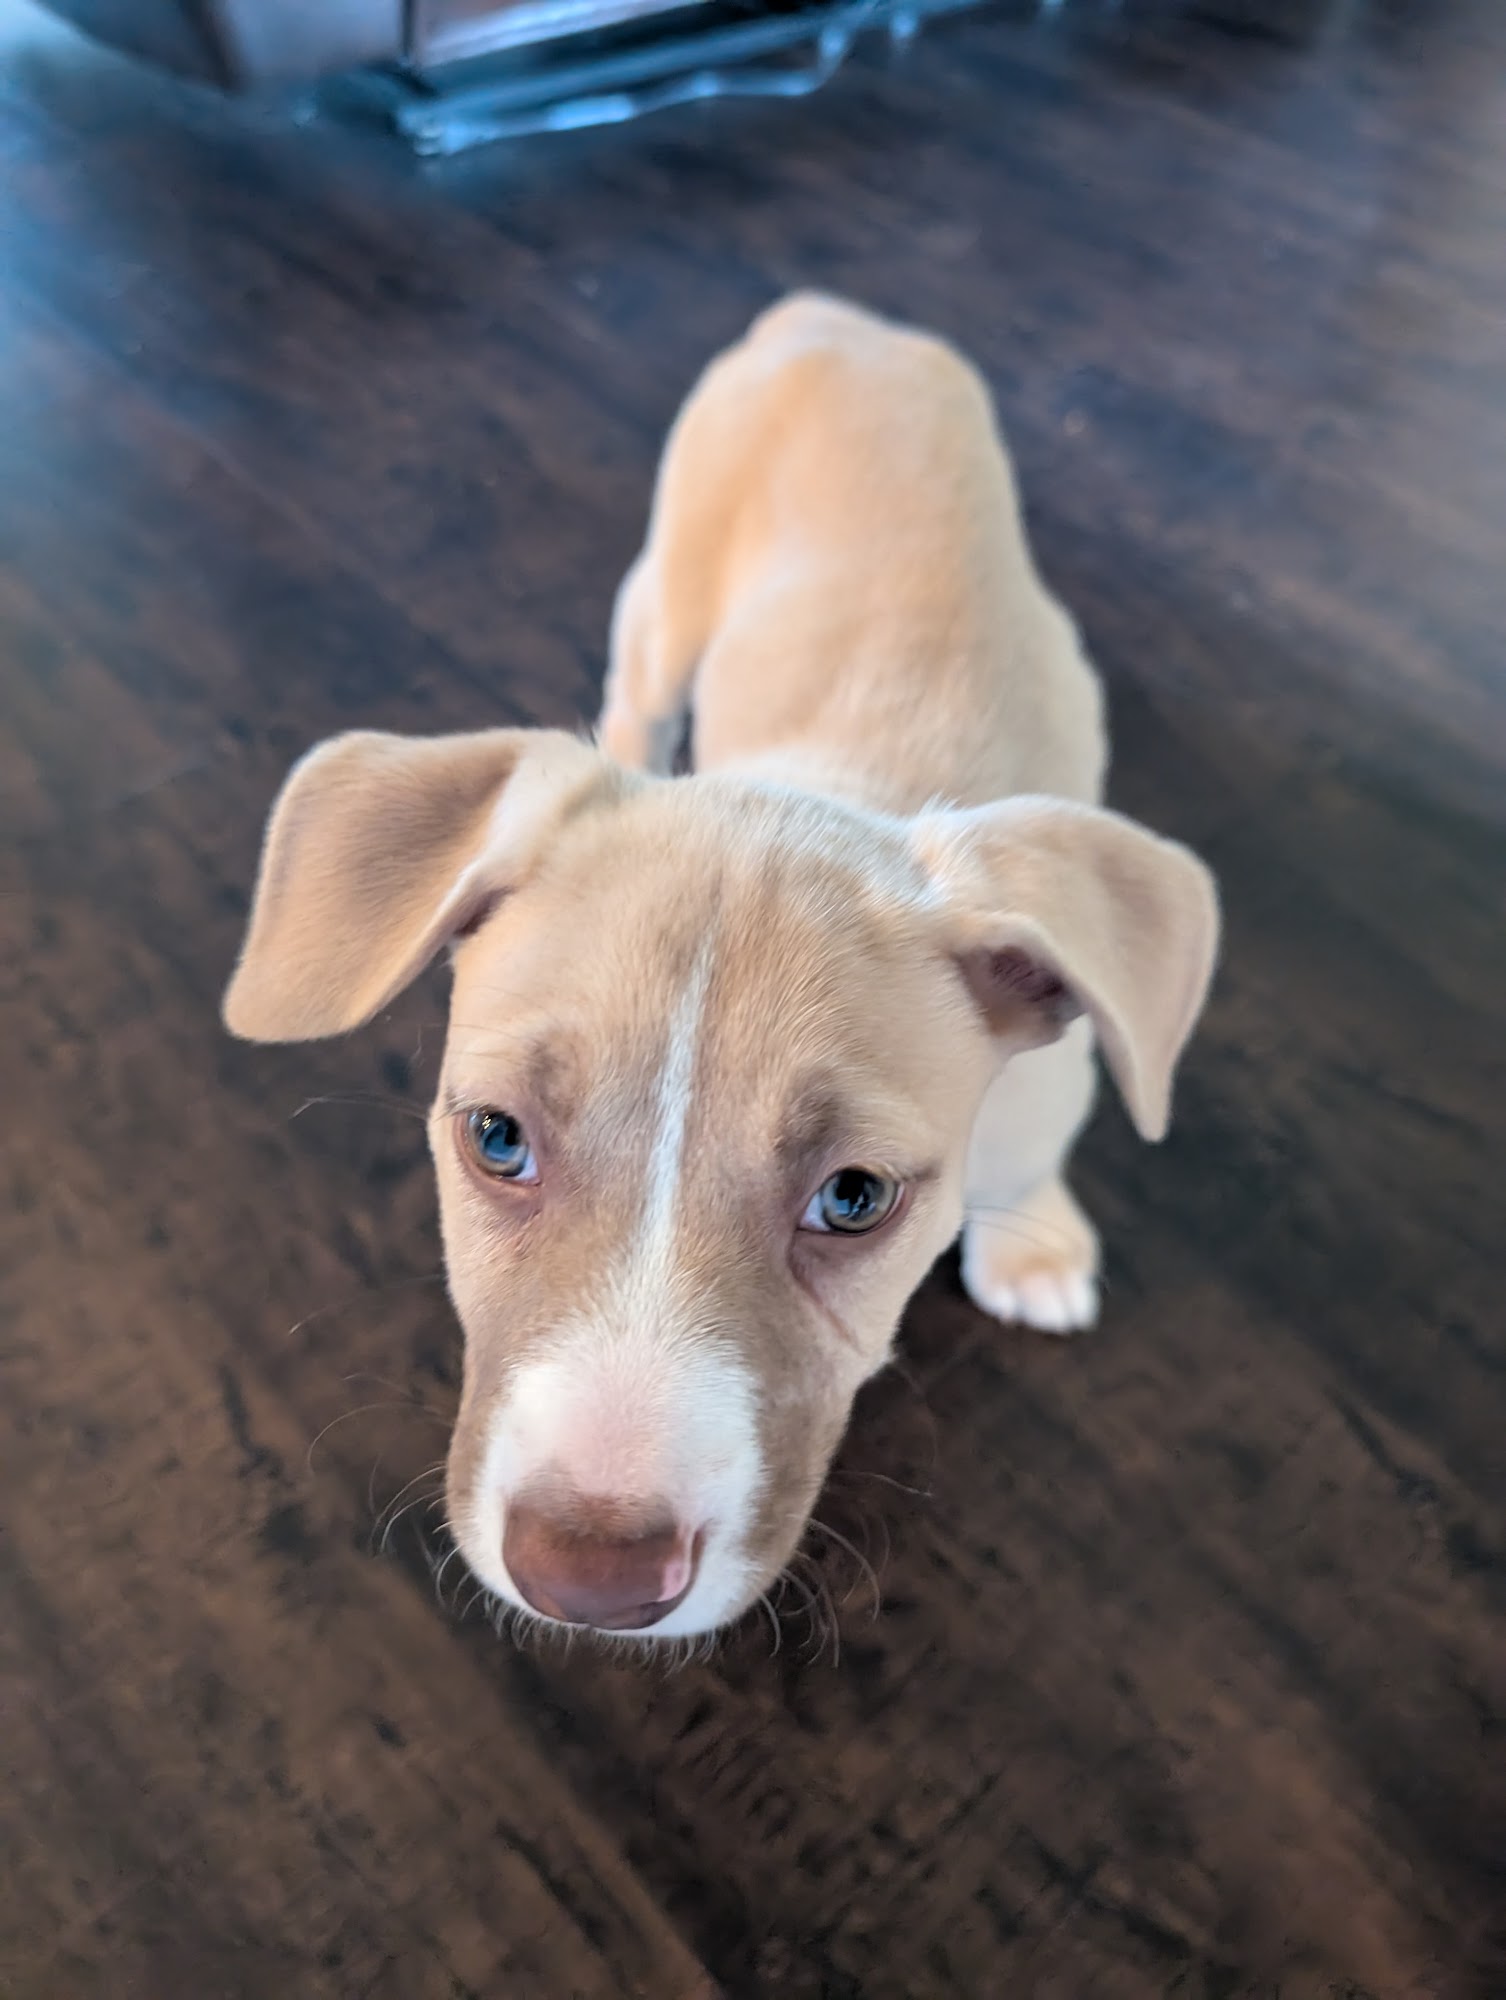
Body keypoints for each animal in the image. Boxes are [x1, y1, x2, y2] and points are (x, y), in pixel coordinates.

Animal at [225, 295, 1219, 1643]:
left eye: (853, 1197)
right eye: (496, 1137)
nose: (589, 1580)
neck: (821, 784)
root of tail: (837, 319)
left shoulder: (1048, 1075)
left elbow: (1029, 1149)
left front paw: (1033, 1246)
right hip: (664, 595)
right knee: (634, 701)